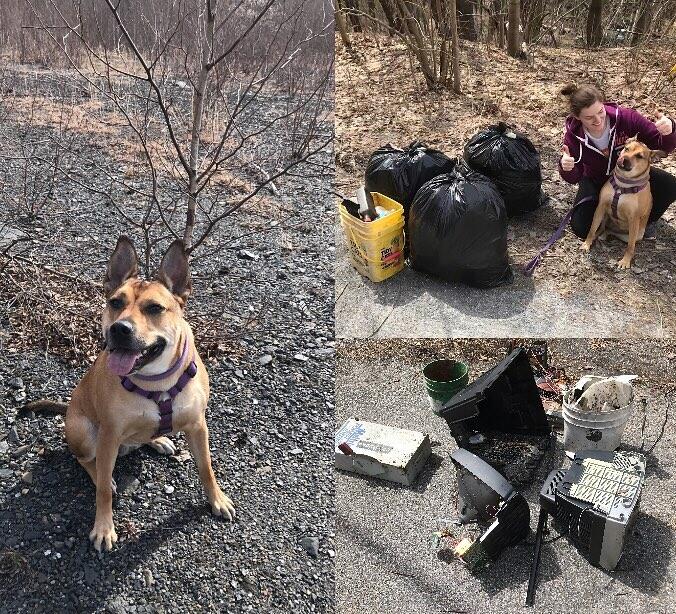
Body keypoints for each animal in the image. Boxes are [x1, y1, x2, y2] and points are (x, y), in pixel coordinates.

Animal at [25, 236, 235, 552]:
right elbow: (102, 491)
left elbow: (206, 467)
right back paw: (106, 473)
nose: (119, 328)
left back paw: (159, 440)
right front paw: (103, 527)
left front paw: (217, 499)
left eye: (154, 308)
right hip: (84, 432)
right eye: (115, 302)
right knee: (87, 461)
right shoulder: (109, 435)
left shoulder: (198, 425)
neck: (156, 382)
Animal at [580, 138, 668, 270]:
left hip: (635, 234)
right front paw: (586, 243)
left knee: (618, 235)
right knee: (602, 228)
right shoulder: (600, 207)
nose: (624, 158)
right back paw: (598, 235)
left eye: (639, 156)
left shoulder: (634, 219)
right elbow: (592, 228)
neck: (623, 185)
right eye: (626, 149)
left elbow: (630, 247)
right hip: (605, 217)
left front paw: (625, 261)